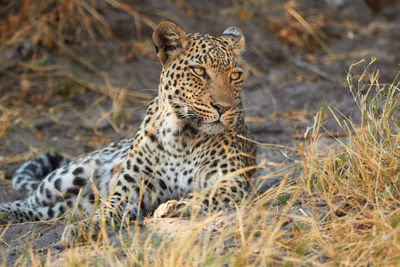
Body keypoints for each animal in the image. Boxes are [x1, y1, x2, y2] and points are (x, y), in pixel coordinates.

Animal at [0, 22, 256, 245]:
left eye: (235, 75)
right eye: (199, 71)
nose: (223, 108)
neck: (183, 136)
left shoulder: (232, 182)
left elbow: (206, 196)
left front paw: (172, 206)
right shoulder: (129, 189)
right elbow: (108, 208)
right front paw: (85, 227)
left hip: (75, 202)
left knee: (49, 210)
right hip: (68, 175)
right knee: (29, 201)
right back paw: (5, 211)